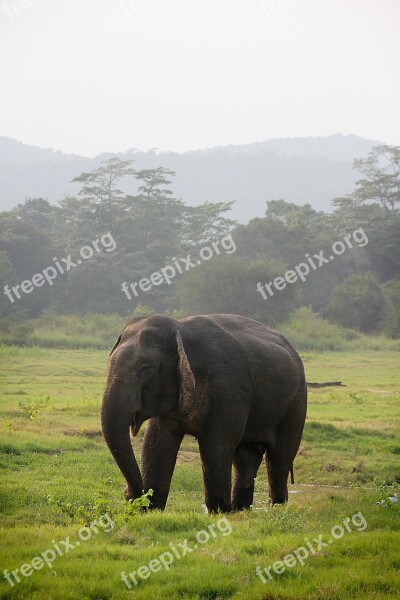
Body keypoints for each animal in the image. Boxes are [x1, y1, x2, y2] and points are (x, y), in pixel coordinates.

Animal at [100, 312, 306, 512]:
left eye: (146, 369)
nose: (129, 494)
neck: (180, 328)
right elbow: (156, 442)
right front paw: (151, 510)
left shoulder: (227, 390)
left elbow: (215, 446)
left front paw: (219, 511)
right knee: (246, 458)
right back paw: (241, 510)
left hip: (296, 404)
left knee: (279, 458)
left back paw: (275, 507)